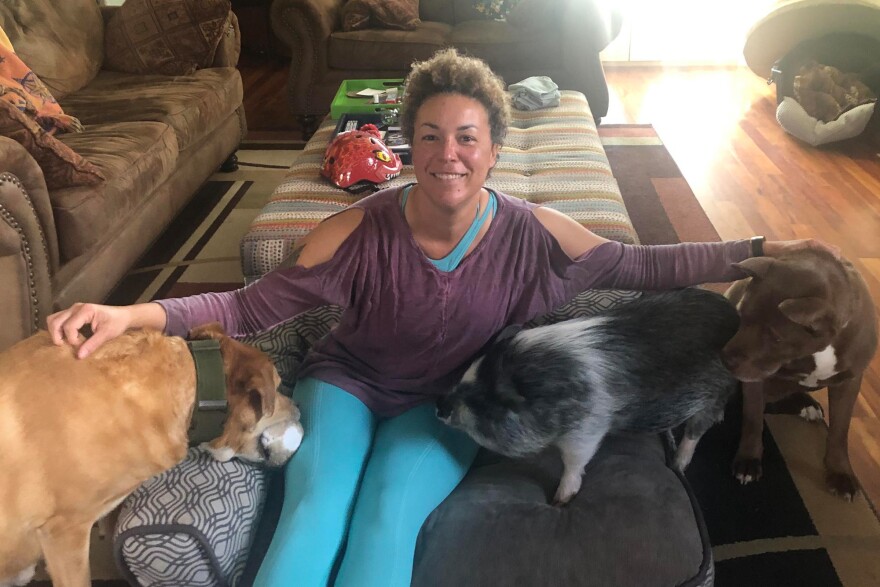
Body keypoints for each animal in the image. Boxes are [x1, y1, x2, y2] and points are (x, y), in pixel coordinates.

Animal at [724, 249, 876, 500]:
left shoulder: (849, 382)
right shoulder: (755, 380)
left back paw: (806, 404)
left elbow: (840, 430)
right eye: (740, 315)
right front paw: (748, 461)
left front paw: (840, 472)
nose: (725, 359)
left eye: (776, 338)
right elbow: (753, 418)